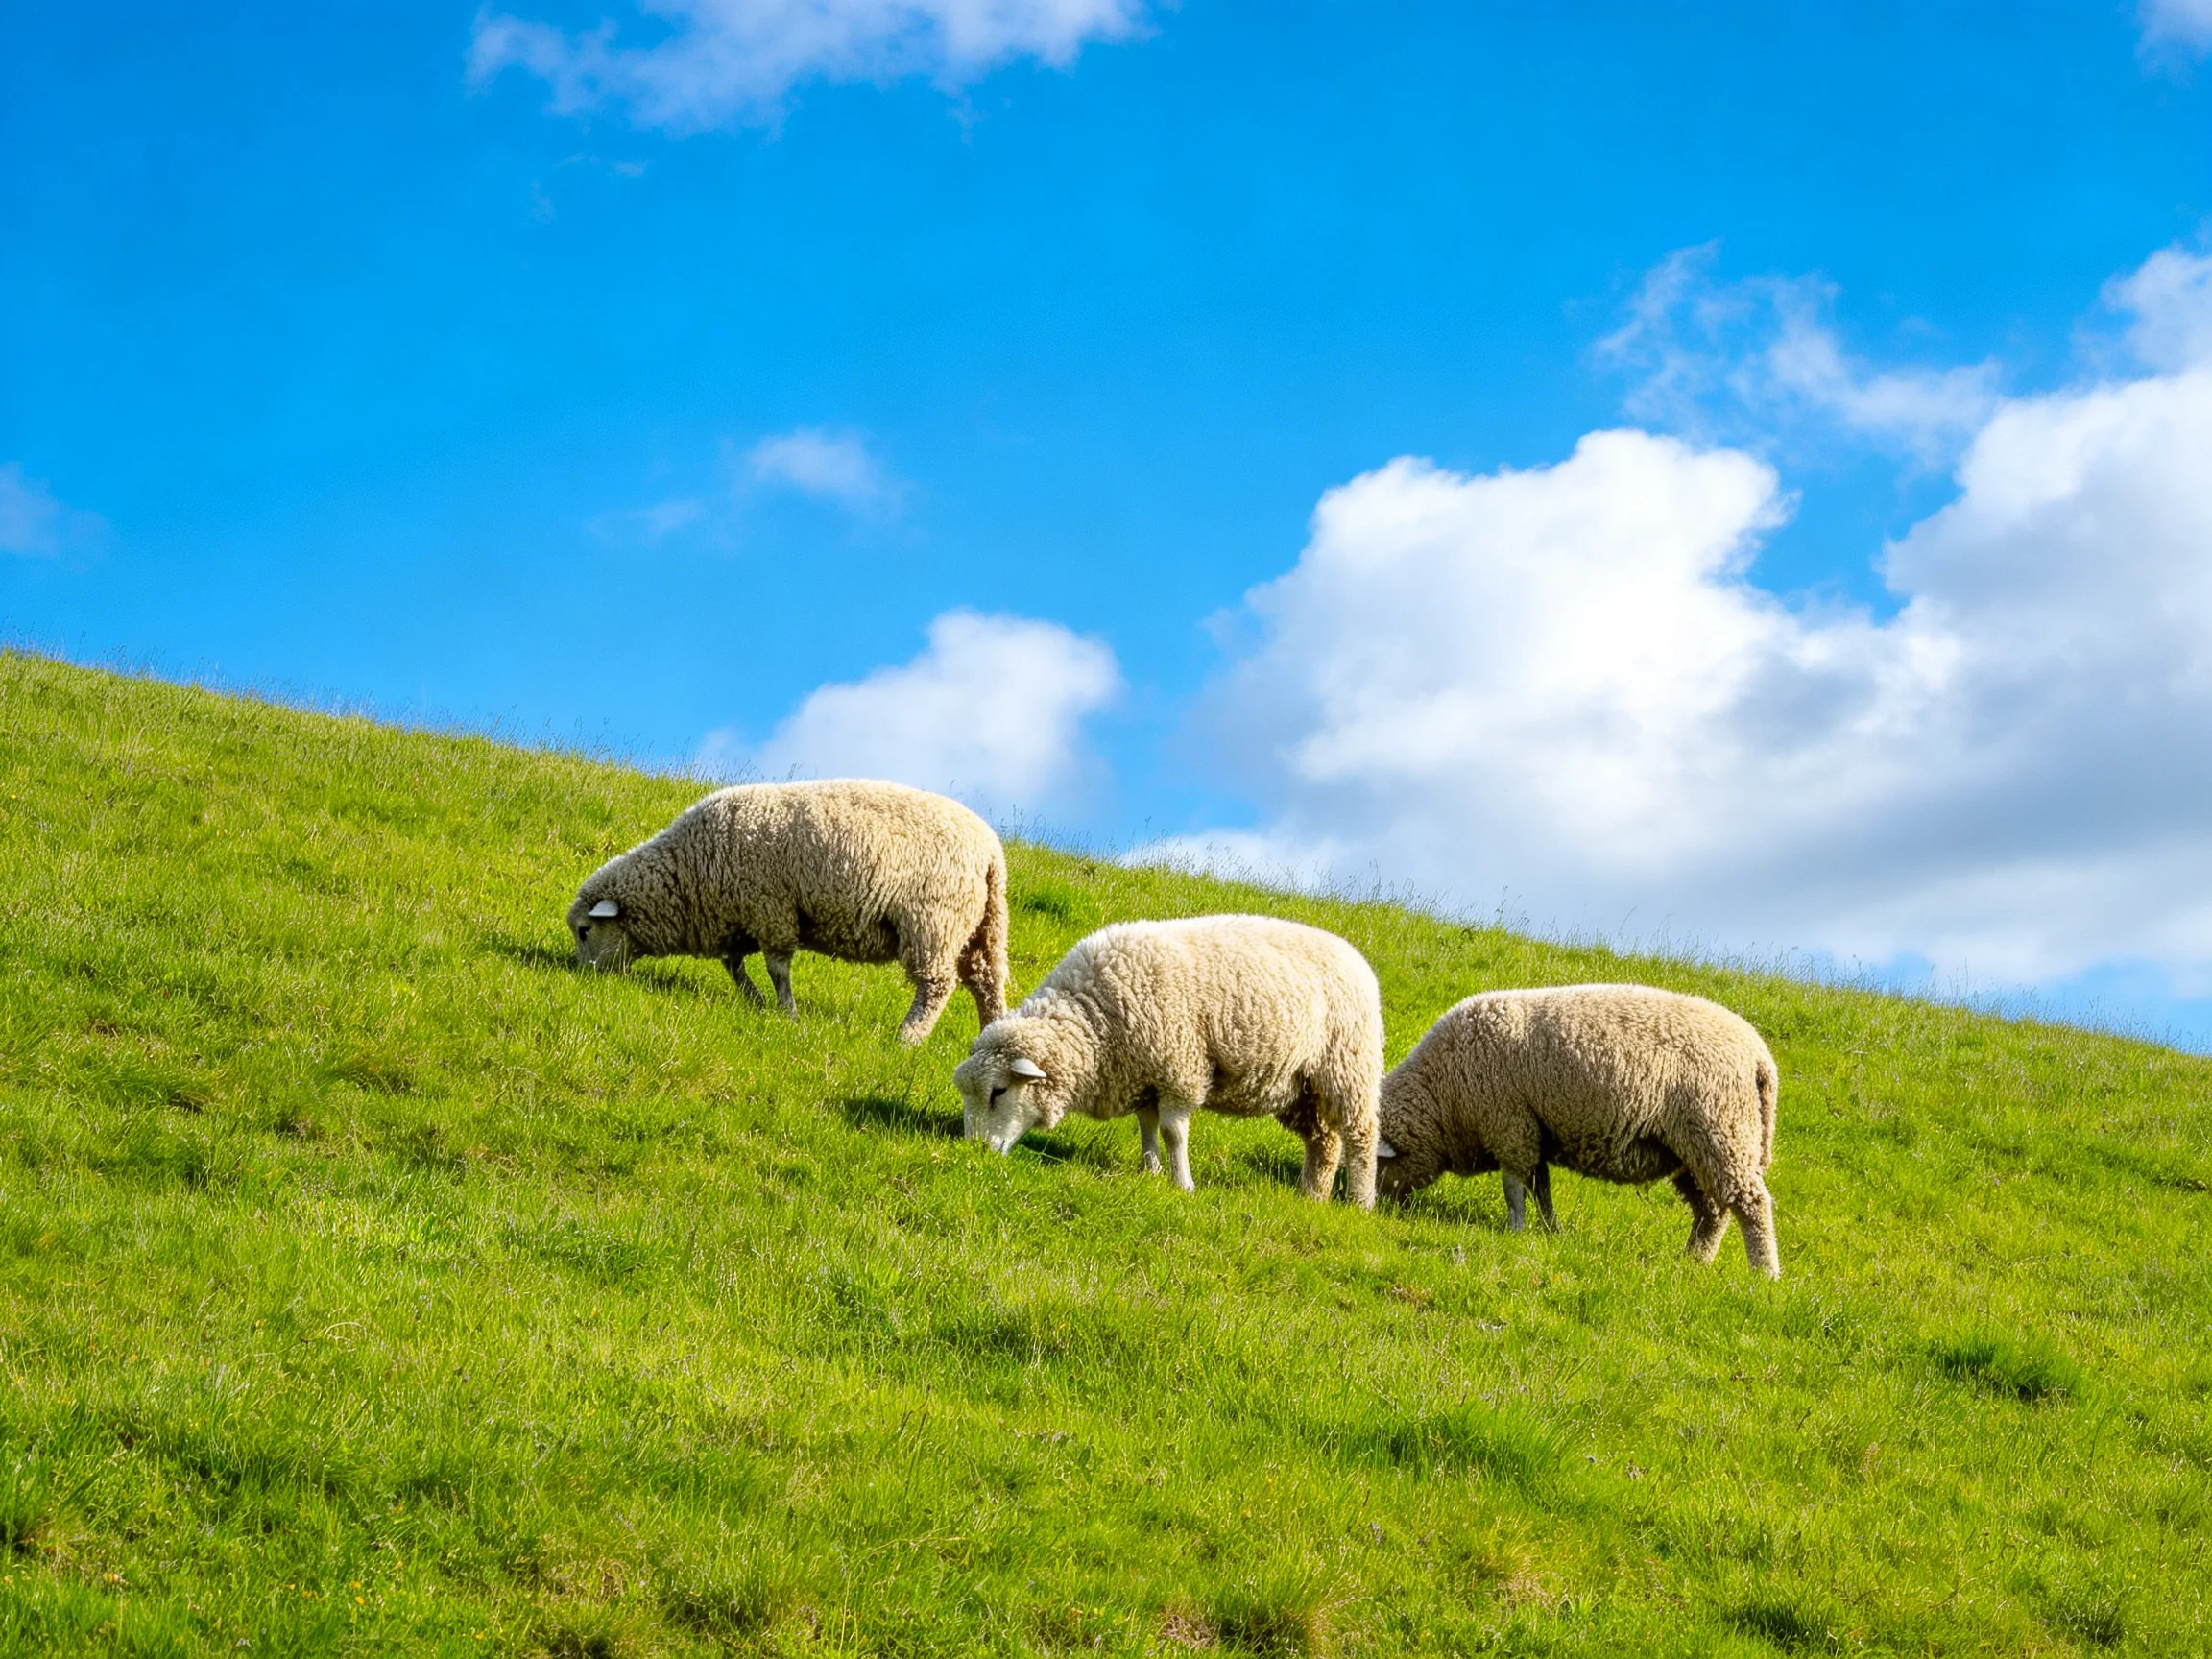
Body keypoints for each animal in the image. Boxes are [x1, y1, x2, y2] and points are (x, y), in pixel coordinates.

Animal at [566, 779, 1007, 1044]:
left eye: (585, 930)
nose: (583, 976)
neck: (690, 870)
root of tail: (990, 851)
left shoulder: (771, 909)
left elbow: (777, 967)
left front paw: (787, 1012)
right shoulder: (742, 916)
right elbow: (733, 963)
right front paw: (754, 1000)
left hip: (933, 922)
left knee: (936, 985)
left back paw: (908, 1038)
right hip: (981, 927)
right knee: (986, 981)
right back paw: (991, 1033)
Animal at [955, 915, 1386, 1208]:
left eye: (998, 1092)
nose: (975, 1150)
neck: (1097, 1017)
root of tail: (1356, 957)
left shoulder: (1180, 1069)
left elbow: (1172, 1132)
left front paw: (1183, 1184)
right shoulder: (1144, 1076)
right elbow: (1146, 1127)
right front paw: (1151, 1171)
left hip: (1348, 1066)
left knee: (1360, 1135)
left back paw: (1360, 1202)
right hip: (1301, 1087)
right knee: (1324, 1141)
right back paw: (1310, 1196)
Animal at [1374, 984, 1781, 1277]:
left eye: (1375, 1165)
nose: (1372, 1207)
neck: (1442, 1093)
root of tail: (1759, 1056)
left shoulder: (1510, 1124)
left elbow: (1513, 1187)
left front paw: (1516, 1230)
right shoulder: (1533, 1130)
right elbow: (1540, 1187)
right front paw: (1551, 1229)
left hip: (1721, 1132)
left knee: (1751, 1205)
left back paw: (1764, 1273)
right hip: (1692, 1152)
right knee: (1712, 1211)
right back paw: (1694, 1260)